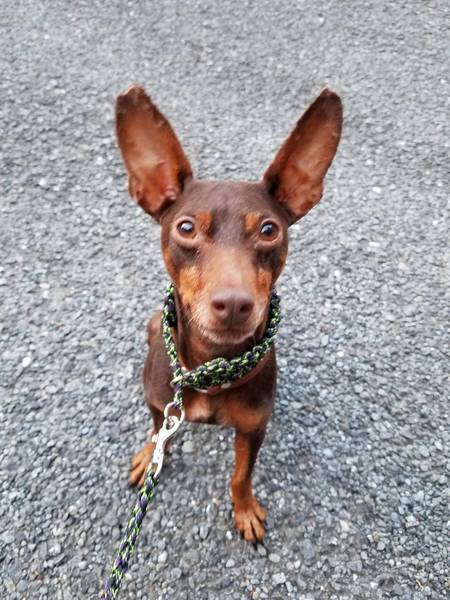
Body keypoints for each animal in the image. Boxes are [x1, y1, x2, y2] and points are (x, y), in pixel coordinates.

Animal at [115, 85, 342, 542]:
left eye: (269, 230)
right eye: (185, 227)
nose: (234, 304)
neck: (211, 368)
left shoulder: (254, 428)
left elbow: (241, 475)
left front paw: (245, 509)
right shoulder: (159, 402)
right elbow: (158, 430)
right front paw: (150, 454)